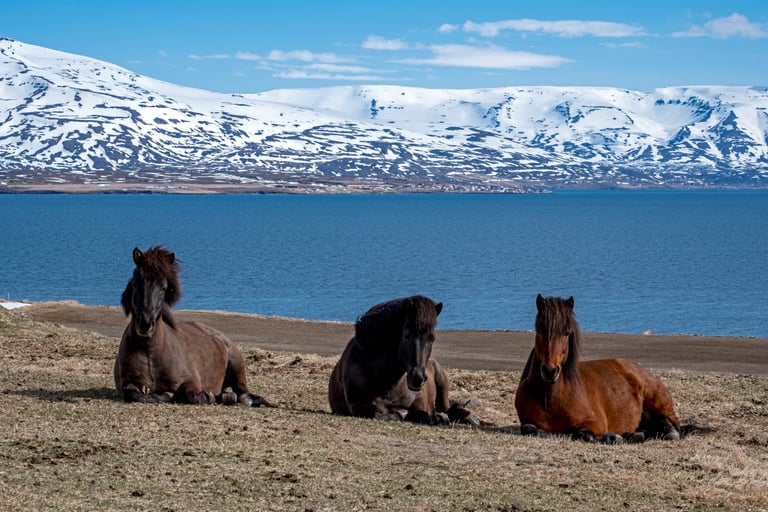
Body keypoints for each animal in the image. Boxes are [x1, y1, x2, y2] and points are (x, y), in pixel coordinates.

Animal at [114, 246, 271, 407]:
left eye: (164, 288)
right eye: (135, 284)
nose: (145, 323)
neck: (149, 352)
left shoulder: (191, 381)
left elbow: (187, 394)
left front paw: (207, 396)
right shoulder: (127, 384)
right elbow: (135, 394)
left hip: (237, 366)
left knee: (243, 394)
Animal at [328, 295, 477, 425]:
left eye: (432, 338)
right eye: (406, 335)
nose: (417, 377)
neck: (385, 383)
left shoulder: (421, 404)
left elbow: (424, 414)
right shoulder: (358, 406)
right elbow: (379, 414)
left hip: (442, 382)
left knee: (447, 408)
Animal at [514, 294, 682, 443]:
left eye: (567, 333)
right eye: (539, 329)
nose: (550, 371)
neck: (548, 397)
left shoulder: (595, 423)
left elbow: (582, 433)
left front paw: (613, 437)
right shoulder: (527, 422)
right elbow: (531, 430)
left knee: (673, 426)